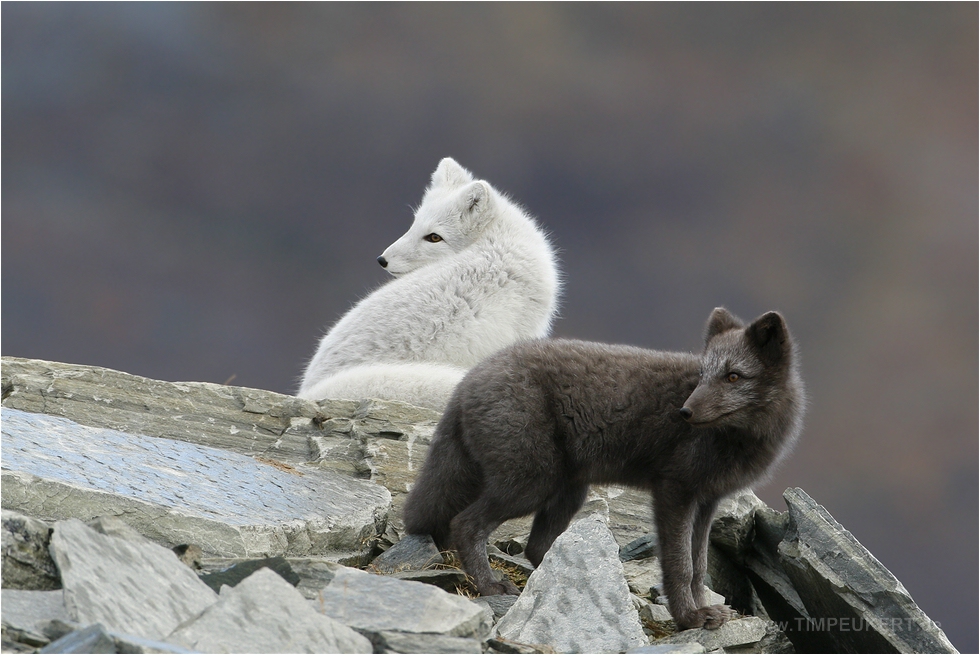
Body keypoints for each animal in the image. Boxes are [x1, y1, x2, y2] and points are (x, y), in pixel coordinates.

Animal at [404, 310, 804, 632]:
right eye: (703, 375)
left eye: (733, 376)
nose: (685, 413)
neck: (737, 438)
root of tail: (466, 380)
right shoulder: (674, 491)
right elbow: (681, 565)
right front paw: (689, 618)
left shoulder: (707, 501)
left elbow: (699, 565)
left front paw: (703, 610)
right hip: (530, 484)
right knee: (466, 524)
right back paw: (491, 586)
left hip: (568, 490)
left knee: (537, 548)